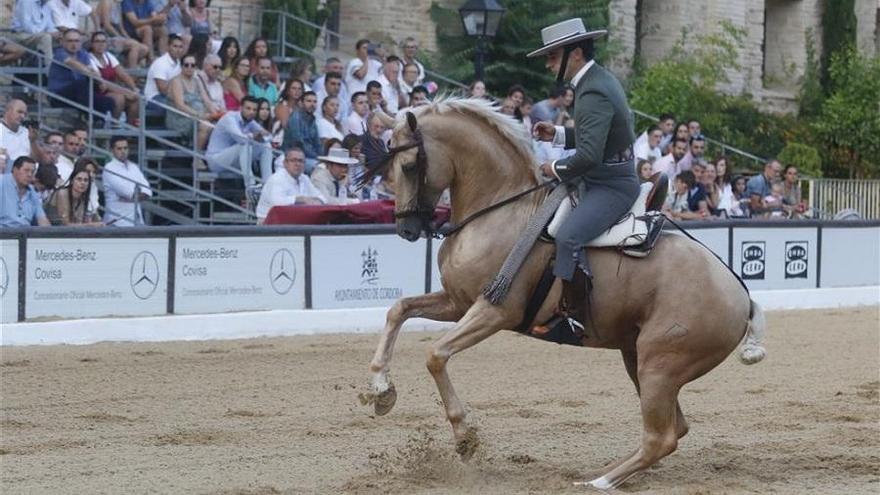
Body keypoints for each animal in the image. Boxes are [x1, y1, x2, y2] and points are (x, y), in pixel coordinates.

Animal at [360, 96, 768, 488]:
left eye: (408, 166)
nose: (407, 229)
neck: (500, 211)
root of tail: (740, 293)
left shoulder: (495, 311)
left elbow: (435, 355)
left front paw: (464, 437)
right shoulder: (459, 303)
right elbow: (398, 310)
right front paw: (381, 390)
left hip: (659, 366)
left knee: (660, 438)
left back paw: (598, 481)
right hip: (638, 358)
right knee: (673, 430)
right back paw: (606, 472)